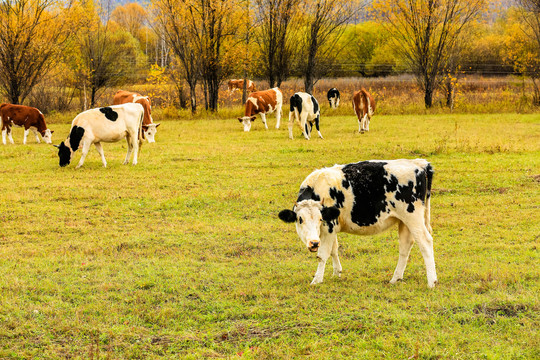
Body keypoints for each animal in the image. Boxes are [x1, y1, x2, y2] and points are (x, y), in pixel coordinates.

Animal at [278, 159, 438, 288]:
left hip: (413, 217)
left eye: (320, 219)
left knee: (425, 242)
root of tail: (418, 163)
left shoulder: (329, 226)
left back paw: (432, 282)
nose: (314, 243)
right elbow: (334, 249)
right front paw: (336, 273)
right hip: (404, 220)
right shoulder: (332, 228)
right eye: (300, 219)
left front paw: (316, 280)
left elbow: (323, 254)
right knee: (405, 246)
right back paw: (395, 278)